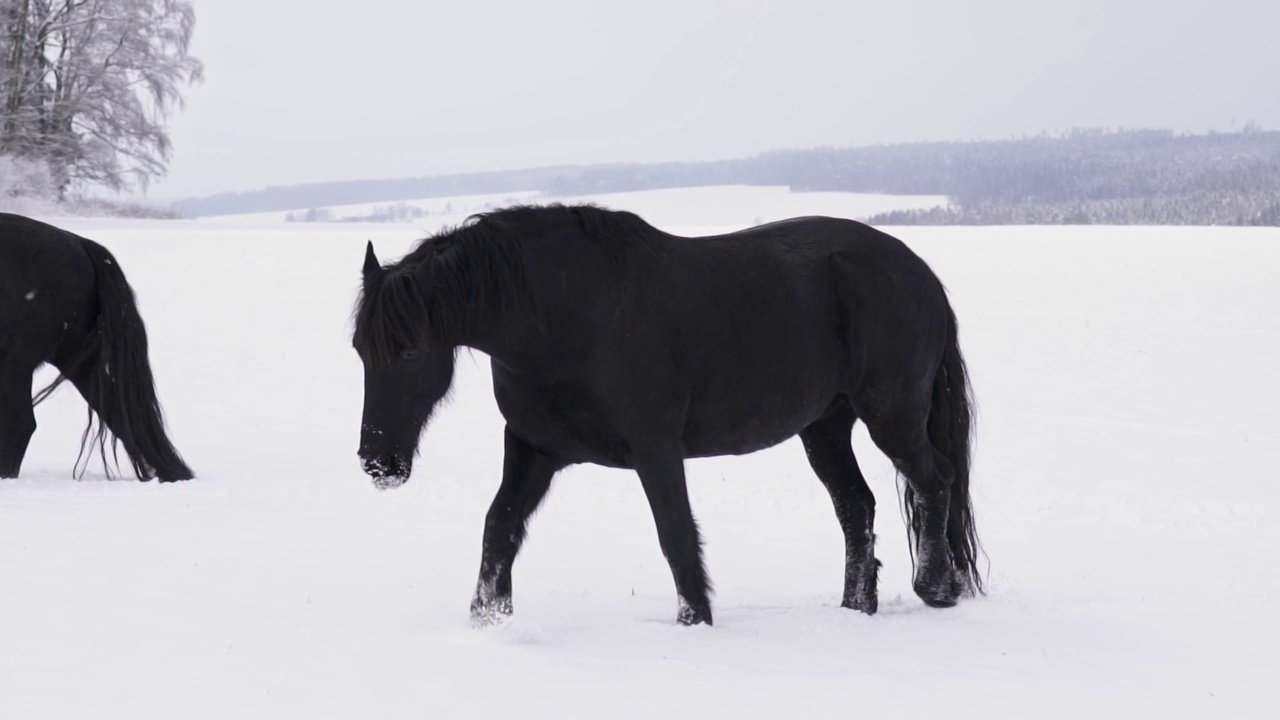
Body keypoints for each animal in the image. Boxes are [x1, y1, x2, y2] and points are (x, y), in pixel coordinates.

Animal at [355, 202, 983, 622]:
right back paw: (857, 606)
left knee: (935, 480)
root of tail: (920, 275)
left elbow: (676, 535)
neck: (570, 315)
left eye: (409, 352)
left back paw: (937, 589)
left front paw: (695, 622)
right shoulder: (533, 448)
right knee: (857, 507)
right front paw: (487, 618)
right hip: (824, 428)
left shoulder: (655, 451)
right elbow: (499, 527)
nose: (376, 462)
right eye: (360, 350)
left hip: (892, 415)